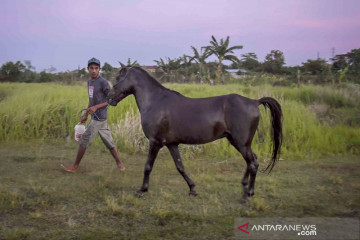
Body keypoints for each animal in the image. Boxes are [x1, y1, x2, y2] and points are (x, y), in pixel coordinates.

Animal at [108, 62, 282, 202]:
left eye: (118, 77)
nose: (109, 98)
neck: (155, 101)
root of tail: (254, 102)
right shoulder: (172, 144)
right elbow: (180, 167)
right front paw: (192, 189)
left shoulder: (155, 142)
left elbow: (148, 166)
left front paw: (141, 190)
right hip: (237, 142)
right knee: (253, 160)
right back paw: (245, 186)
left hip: (241, 143)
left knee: (253, 164)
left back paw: (247, 195)